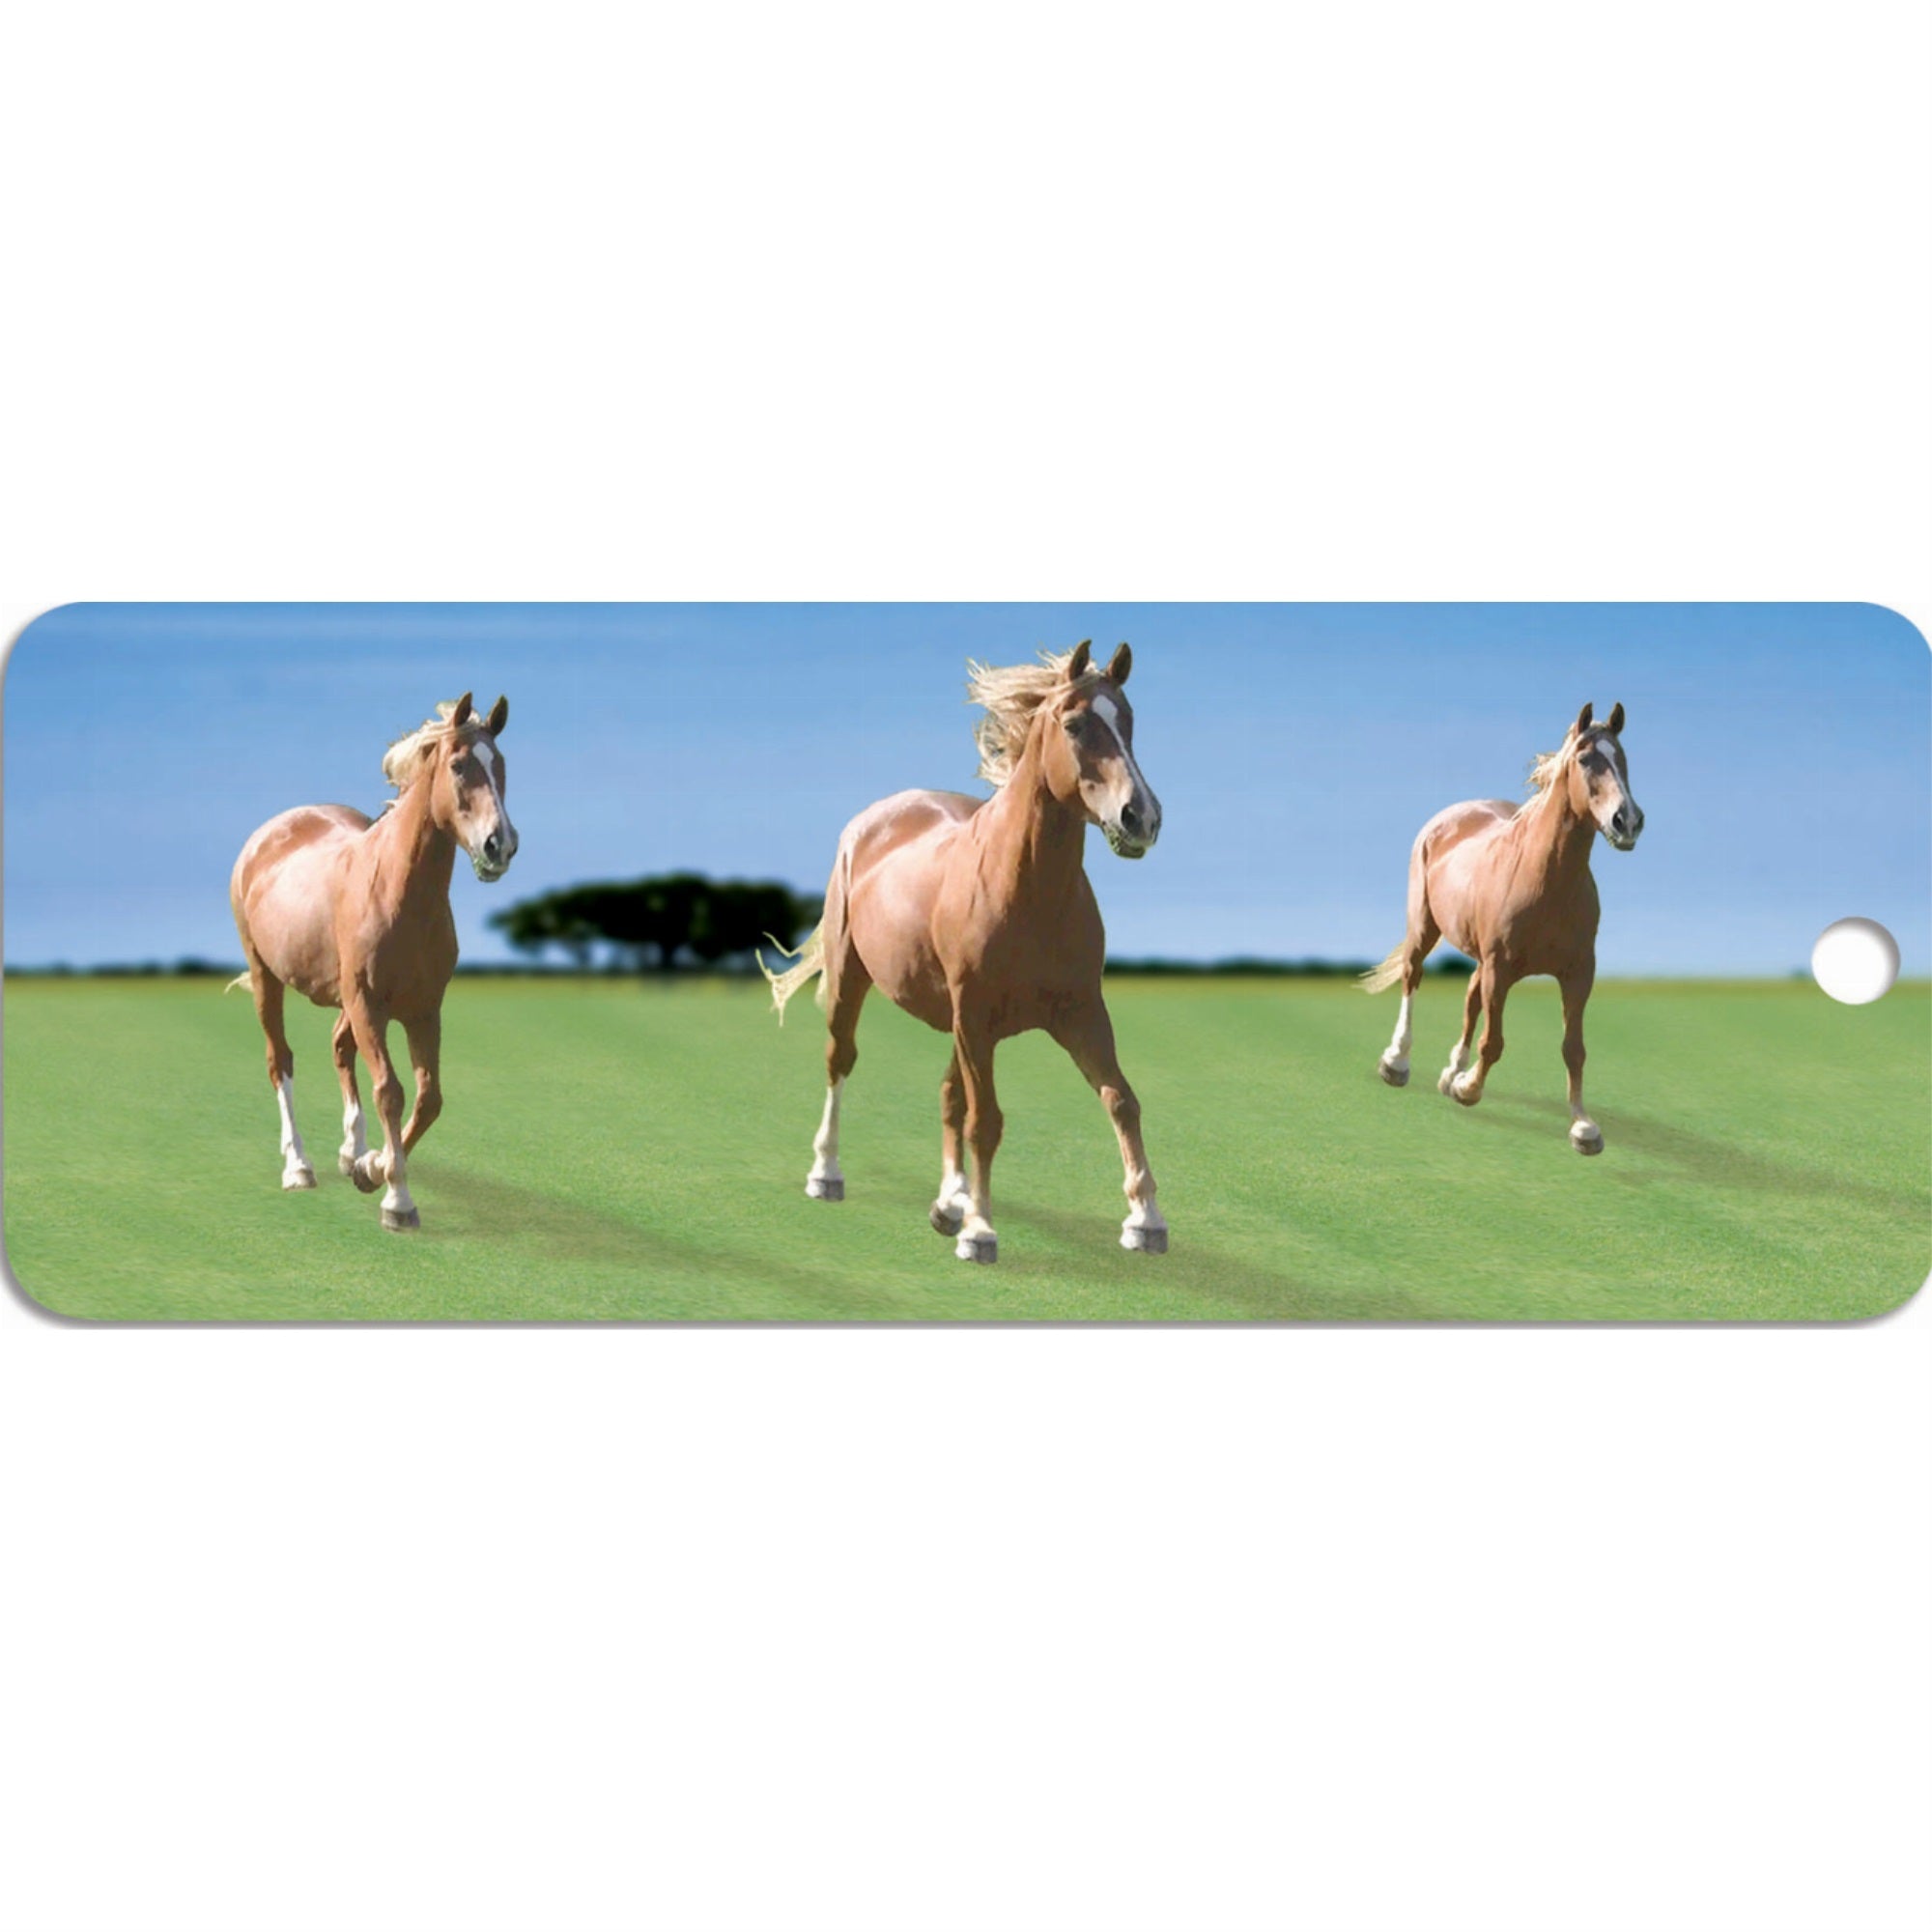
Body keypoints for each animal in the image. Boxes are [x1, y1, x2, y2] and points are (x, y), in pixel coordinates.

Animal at [228, 693, 518, 1230]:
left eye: (501, 765)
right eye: (458, 765)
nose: (500, 845)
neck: (397, 892)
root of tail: (270, 831)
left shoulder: (423, 1011)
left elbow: (428, 1098)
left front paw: (370, 1165)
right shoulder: (368, 1005)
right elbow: (390, 1090)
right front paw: (397, 1199)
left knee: (340, 1049)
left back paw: (351, 1151)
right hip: (267, 977)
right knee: (282, 1061)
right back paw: (298, 1166)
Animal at [765, 641, 1167, 1264]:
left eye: (1127, 722)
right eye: (1074, 724)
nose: (1141, 818)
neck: (1026, 888)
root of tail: (874, 817)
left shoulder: (1079, 1013)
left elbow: (1120, 1099)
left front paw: (1145, 1221)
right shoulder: (976, 1017)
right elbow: (987, 1122)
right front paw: (981, 1232)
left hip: (960, 1022)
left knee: (949, 1092)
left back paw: (949, 1201)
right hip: (855, 980)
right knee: (840, 1061)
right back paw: (827, 1175)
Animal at [1362, 700, 1643, 1154]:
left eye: (1622, 759)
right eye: (1585, 759)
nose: (1628, 821)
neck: (1546, 880)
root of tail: (1449, 815)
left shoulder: (1579, 973)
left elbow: (1574, 1049)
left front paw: (1583, 1126)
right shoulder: (1501, 968)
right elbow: (1493, 1042)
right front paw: (1468, 1089)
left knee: (1470, 996)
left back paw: (1450, 1070)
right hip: (1425, 928)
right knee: (1412, 976)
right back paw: (1397, 1062)